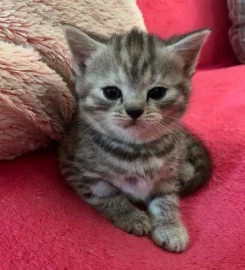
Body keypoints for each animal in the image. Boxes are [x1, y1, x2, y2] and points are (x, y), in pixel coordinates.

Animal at [58, 24, 212, 252]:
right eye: (111, 92)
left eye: (157, 92)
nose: (134, 110)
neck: (137, 150)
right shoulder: (76, 169)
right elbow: (108, 194)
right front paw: (131, 216)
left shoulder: (165, 178)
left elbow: (166, 198)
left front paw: (171, 226)